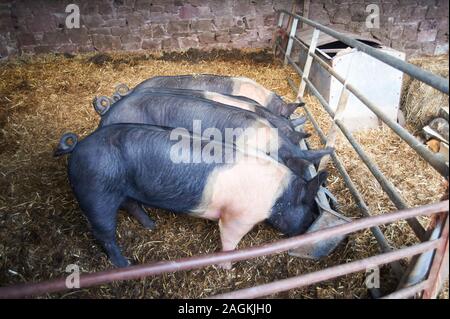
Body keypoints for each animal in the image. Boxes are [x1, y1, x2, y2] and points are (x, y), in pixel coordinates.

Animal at [53, 124, 326, 268]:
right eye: (309, 209)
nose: (307, 229)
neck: (278, 197)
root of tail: (78, 146)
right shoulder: (237, 216)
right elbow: (229, 241)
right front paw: (227, 267)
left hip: (123, 188)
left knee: (132, 205)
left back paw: (152, 226)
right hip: (95, 192)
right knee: (103, 233)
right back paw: (125, 265)